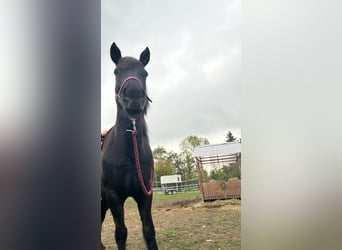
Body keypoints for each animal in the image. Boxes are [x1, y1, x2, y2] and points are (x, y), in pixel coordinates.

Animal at [101, 43, 158, 250]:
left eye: (145, 73)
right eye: (116, 71)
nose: (134, 97)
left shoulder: (145, 194)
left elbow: (149, 230)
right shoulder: (113, 196)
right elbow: (121, 233)